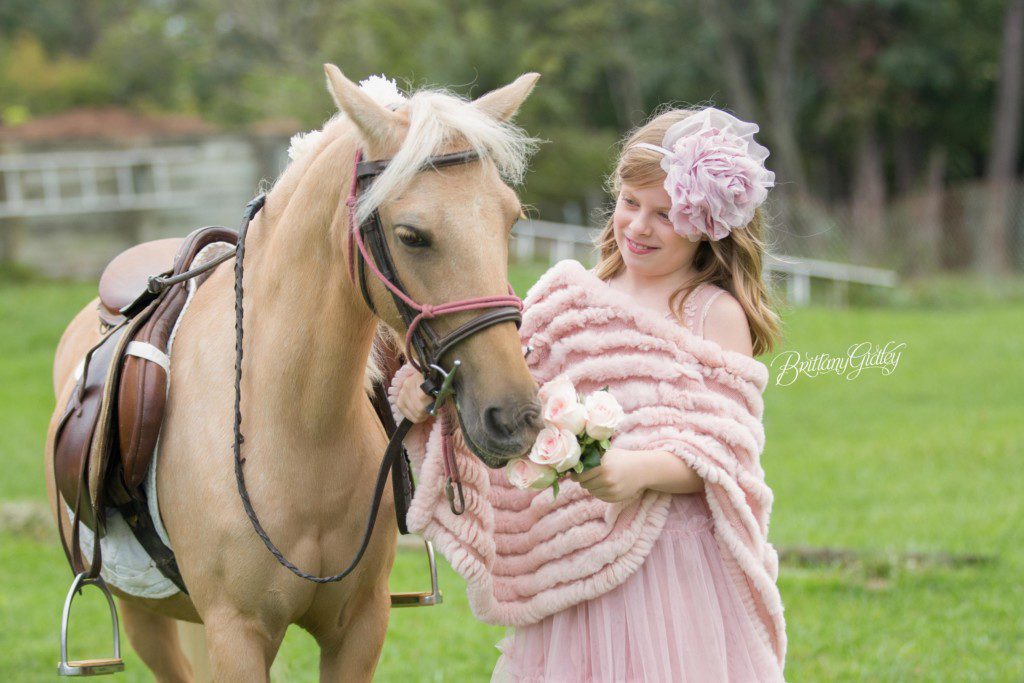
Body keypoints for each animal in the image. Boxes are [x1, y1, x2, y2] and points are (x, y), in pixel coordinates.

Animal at [43, 64, 544, 681]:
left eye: (510, 220)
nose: (515, 416)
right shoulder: (235, 634)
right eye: (411, 236)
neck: (294, 427)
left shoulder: (358, 628)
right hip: (145, 617)